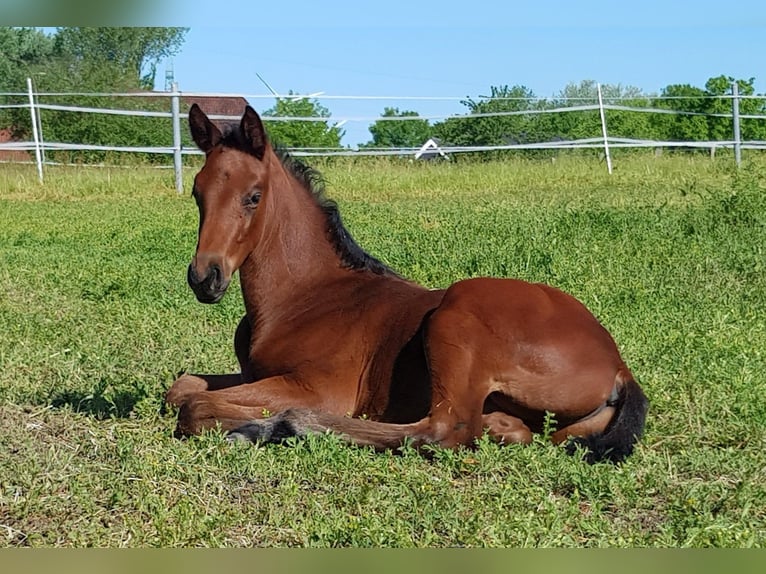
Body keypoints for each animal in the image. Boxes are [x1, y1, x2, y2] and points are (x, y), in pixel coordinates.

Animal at [166, 104, 648, 463]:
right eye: (197, 193)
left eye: (254, 196)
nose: (204, 278)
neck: (303, 298)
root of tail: (617, 365)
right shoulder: (253, 374)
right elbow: (182, 387)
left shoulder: (320, 388)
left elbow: (193, 406)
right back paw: (503, 426)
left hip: (456, 315)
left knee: (443, 430)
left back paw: (280, 426)